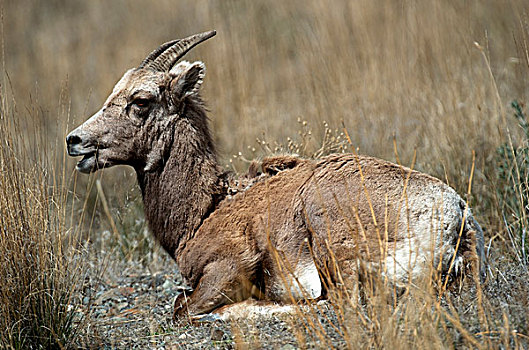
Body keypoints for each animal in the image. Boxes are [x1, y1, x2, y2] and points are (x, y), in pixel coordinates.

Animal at [67, 32, 486, 320]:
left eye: (141, 101)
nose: (75, 141)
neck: (208, 210)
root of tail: (455, 219)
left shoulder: (226, 269)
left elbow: (181, 307)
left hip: (332, 245)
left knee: (334, 302)